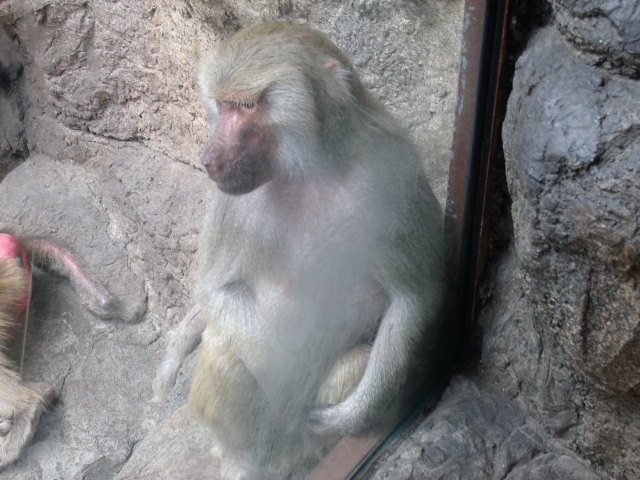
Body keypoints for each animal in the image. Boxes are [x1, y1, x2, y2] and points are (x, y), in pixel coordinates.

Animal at [153, 22, 447, 479]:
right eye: (223, 105)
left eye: (248, 105)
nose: (210, 159)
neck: (309, 169)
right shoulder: (232, 204)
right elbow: (216, 293)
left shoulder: (391, 177)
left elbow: (413, 297)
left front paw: (350, 417)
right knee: (224, 350)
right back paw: (242, 462)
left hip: (306, 437)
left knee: (355, 362)